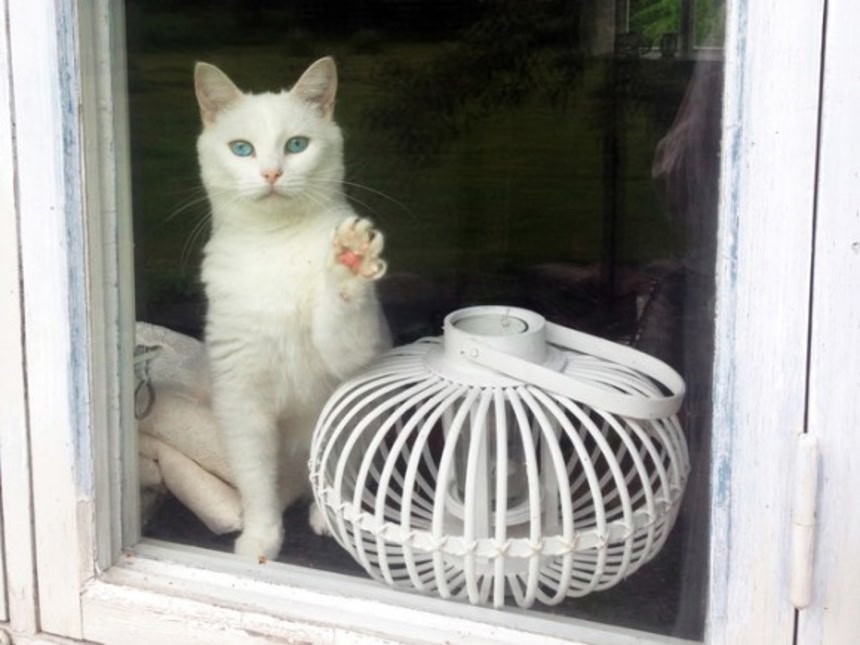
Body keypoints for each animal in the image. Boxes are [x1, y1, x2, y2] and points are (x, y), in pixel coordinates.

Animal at [194, 57, 391, 560]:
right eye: (241, 148)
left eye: (297, 145)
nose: (270, 173)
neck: (274, 244)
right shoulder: (241, 402)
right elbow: (256, 482)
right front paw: (260, 540)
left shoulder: (352, 352)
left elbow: (342, 315)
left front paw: (350, 257)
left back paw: (325, 516)